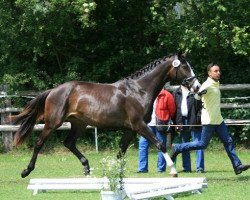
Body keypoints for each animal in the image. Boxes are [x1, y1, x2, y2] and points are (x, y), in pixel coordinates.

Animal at [10, 52, 200, 177]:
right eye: (185, 66)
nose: (197, 86)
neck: (139, 90)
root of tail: (54, 90)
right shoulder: (139, 126)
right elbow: (160, 145)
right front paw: (173, 170)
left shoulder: (130, 129)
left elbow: (121, 151)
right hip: (53, 122)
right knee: (39, 143)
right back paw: (26, 171)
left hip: (79, 123)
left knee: (69, 143)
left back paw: (87, 168)